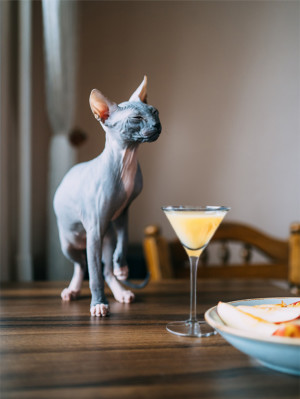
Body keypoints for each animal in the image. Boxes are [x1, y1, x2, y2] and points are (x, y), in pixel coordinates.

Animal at [54, 76, 162, 318]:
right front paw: (98, 303)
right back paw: (73, 289)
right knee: (82, 265)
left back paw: (121, 290)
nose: (157, 125)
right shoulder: (95, 229)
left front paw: (122, 267)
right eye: (137, 118)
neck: (127, 161)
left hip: (107, 237)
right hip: (70, 242)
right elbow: (94, 275)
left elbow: (123, 241)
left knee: (106, 268)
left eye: (155, 112)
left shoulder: (123, 213)